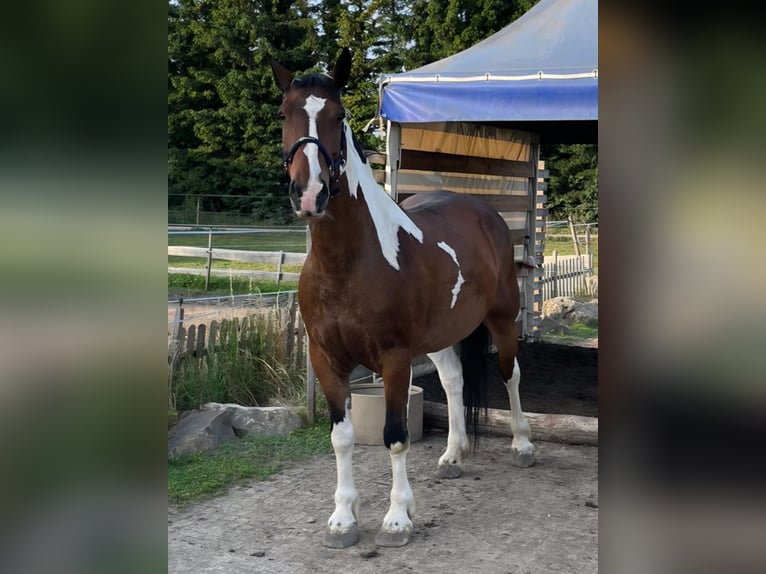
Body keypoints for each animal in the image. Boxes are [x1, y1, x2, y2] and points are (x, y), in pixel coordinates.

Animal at [271, 47, 535, 548]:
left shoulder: (394, 358)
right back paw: (453, 455)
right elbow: (341, 438)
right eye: (284, 113)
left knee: (510, 374)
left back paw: (523, 444)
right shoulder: (325, 358)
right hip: (443, 334)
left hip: (502, 318)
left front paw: (397, 519)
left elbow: (395, 436)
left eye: (338, 115)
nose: (310, 193)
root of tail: (483, 211)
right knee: (453, 381)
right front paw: (343, 519)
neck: (349, 263)